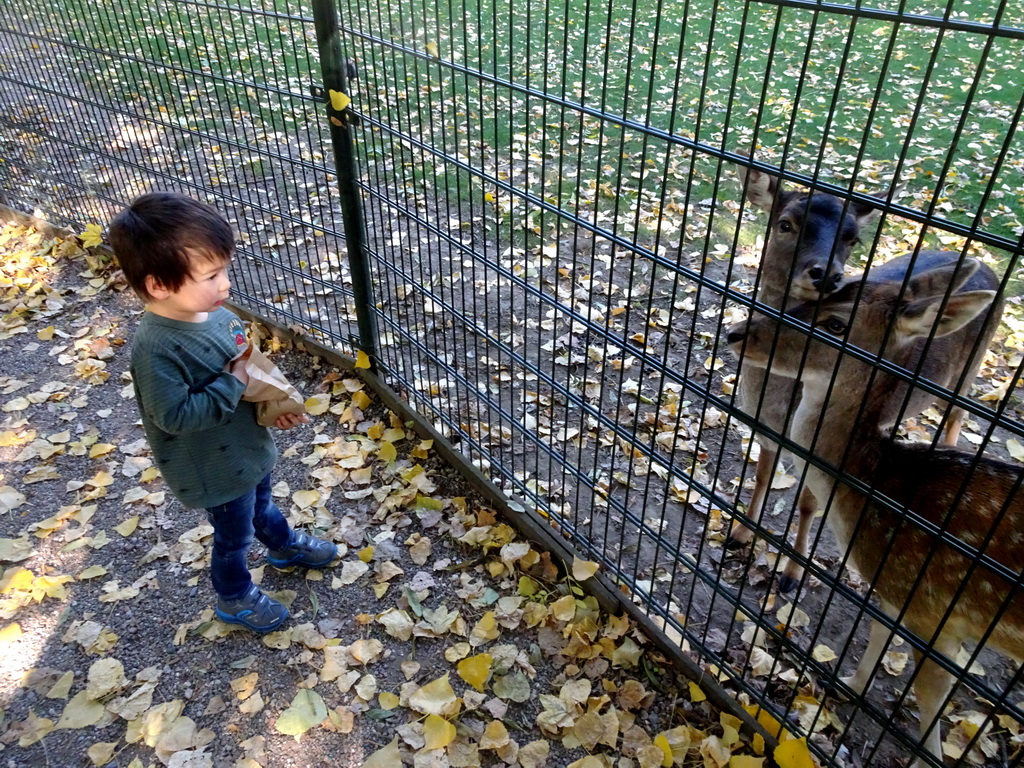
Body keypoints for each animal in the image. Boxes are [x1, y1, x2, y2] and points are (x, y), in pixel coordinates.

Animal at [729, 160, 983, 593]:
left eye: (853, 238)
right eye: (785, 223)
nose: (826, 274)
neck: (778, 406)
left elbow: (808, 503)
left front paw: (792, 575)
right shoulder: (762, 428)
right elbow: (762, 476)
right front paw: (739, 534)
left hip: (972, 368)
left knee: (958, 413)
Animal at [729, 260, 1015, 768]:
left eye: (836, 324)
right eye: (829, 292)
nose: (737, 332)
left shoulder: (932, 612)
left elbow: (931, 704)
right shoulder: (894, 593)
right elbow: (877, 634)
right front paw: (842, 686)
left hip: (968, 374)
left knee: (958, 416)